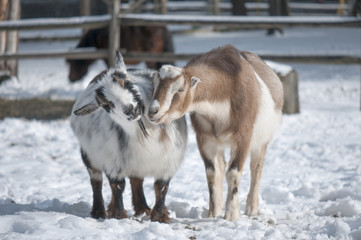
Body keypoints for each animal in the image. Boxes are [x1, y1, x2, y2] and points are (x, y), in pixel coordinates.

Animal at [71, 51, 188, 223]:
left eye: (125, 82)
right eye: (105, 104)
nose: (130, 109)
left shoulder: (168, 161)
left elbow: (161, 188)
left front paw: (159, 217)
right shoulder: (113, 162)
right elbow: (117, 186)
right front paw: (120, 216)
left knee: (136, 180)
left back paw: (143, 208)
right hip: (90, 156)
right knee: (96, 181)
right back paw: (99, 212)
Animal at [148, 44, 282, 221]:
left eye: (181, 89)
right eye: (155, 86)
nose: (153, 111)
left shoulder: (243, 138)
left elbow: (234, 172)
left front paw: (231, 215)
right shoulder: (205, 139)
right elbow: (212, 172)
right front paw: (213, 213)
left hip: (261, 142)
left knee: (256, 169)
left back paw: (251, 208)